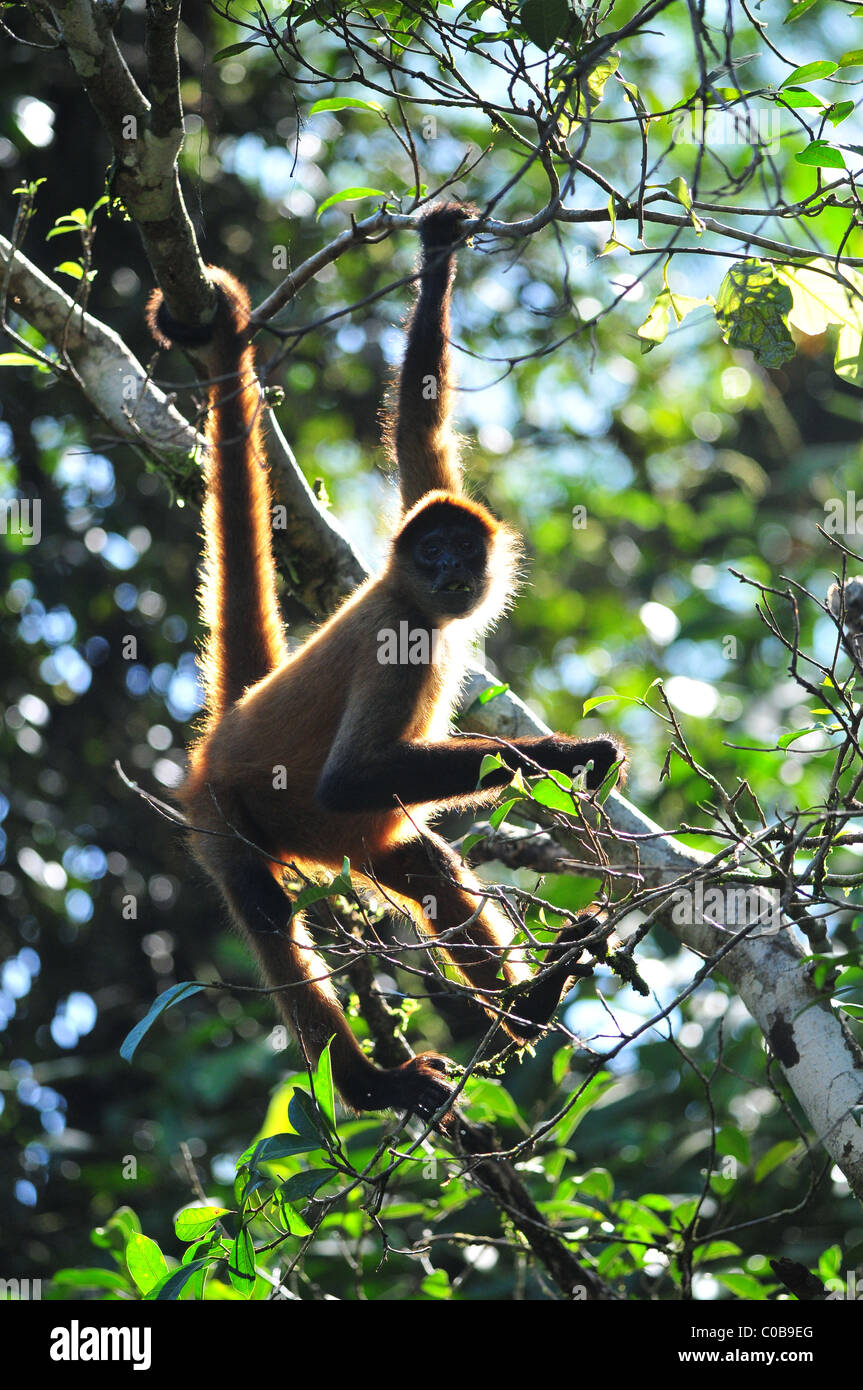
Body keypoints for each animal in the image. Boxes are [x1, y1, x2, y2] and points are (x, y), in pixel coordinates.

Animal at [144, 205, 622, 1117]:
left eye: (458, 548)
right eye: (430, 554)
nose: (449, 571)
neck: (415, 601)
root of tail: (226, 727)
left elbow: (418, 431)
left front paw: (436, 258)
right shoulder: (397, 634)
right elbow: (347, 776)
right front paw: (570, 755)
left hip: (349, 841)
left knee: (422, 862)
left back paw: (524, 1011)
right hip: (223, 815)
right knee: (267, 909)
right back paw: (372, 1083)